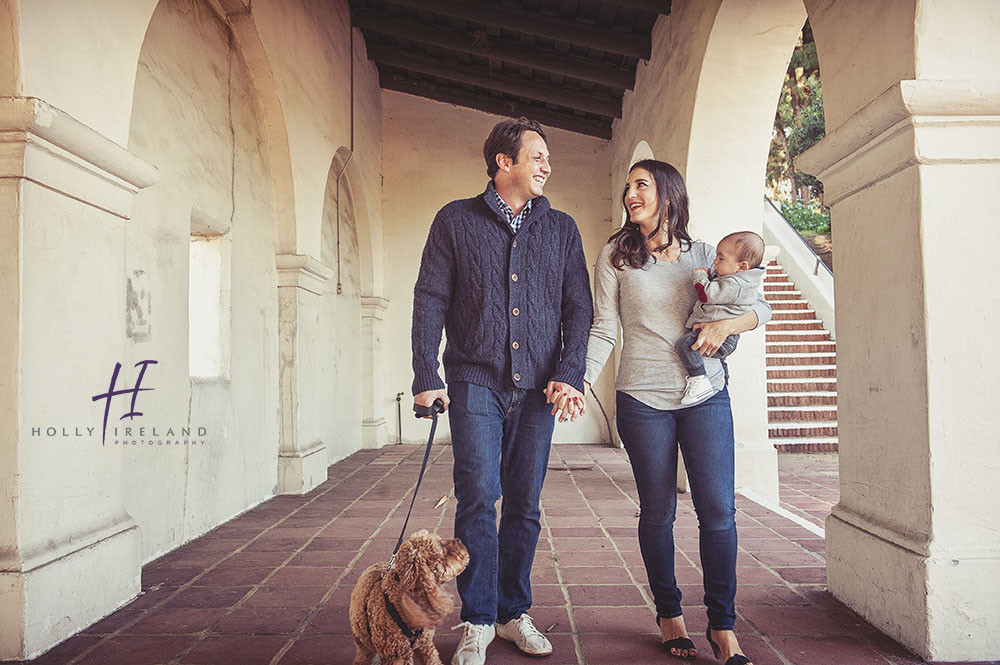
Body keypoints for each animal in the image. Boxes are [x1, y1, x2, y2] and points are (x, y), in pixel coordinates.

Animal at [348, 528, 468, 664]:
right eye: (441, 547)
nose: (460, 540)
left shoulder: (425, 646)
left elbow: (433, 659)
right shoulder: (394, 656)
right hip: (362, 641)